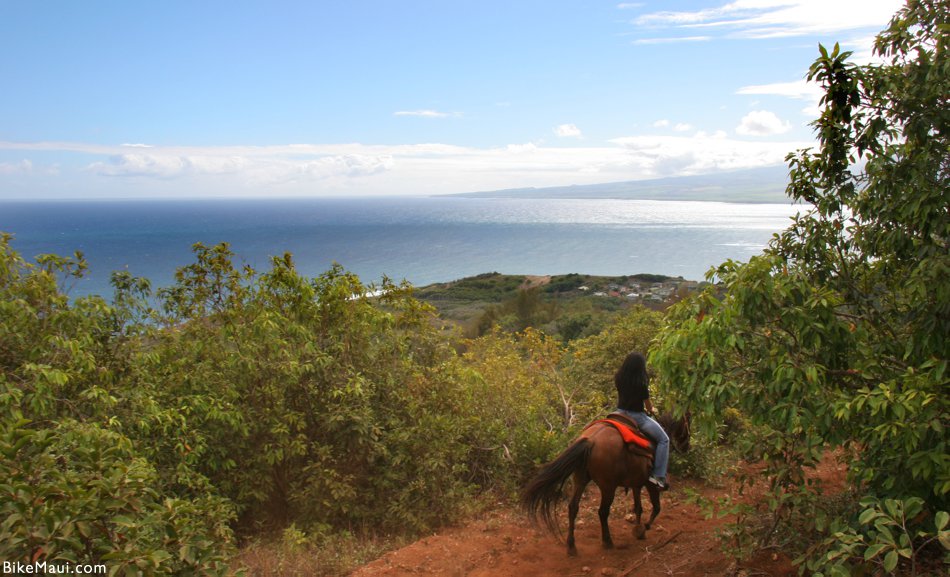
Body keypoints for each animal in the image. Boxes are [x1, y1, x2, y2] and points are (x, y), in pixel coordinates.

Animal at [520, 412, 692, 556]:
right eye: (688, 424)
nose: (687, 448)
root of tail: (591, 440)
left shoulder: (636, 483)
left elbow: (638, 507)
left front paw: (638, 529)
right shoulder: (649, 484)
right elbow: (656, 507)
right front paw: (644, 528)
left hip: (580, 479)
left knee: (573, 507)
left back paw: (571, 546)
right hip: (608, 487)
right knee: (602, 512)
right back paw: (607, 542)